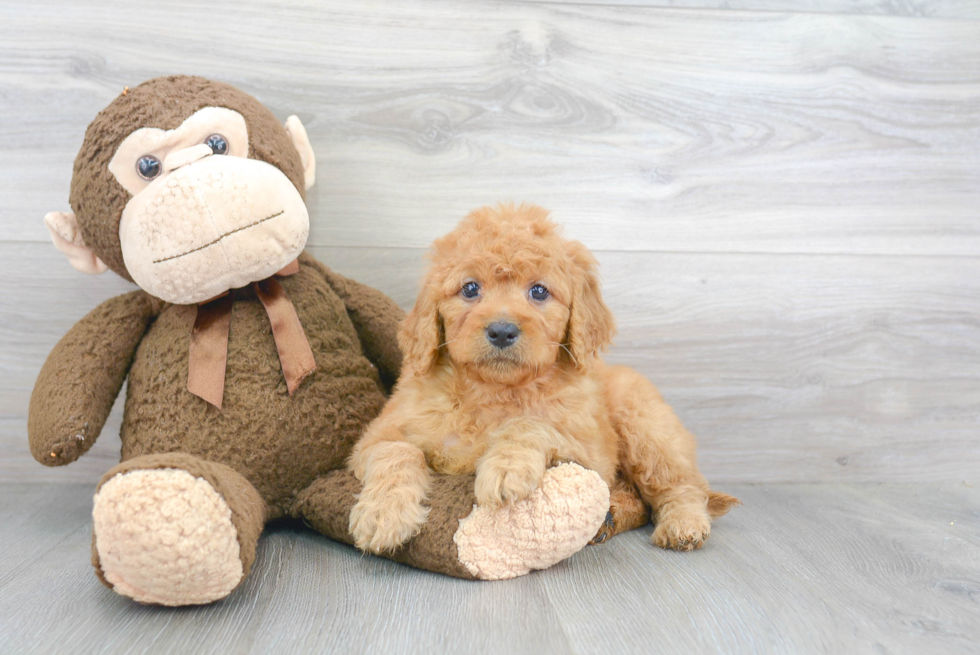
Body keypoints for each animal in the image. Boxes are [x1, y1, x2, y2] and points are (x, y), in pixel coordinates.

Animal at [348, 204, 740, 552]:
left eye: (539, 291)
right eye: (470, 288)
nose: (502, 330)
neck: (493, 390)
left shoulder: (590, 452)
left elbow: (529, 424)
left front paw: (505, 468)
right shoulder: (375, 437)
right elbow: (396, 451)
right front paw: (383, 514)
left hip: (646, 425)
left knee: (680, 487)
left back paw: (682, 524)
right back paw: (610, 517)